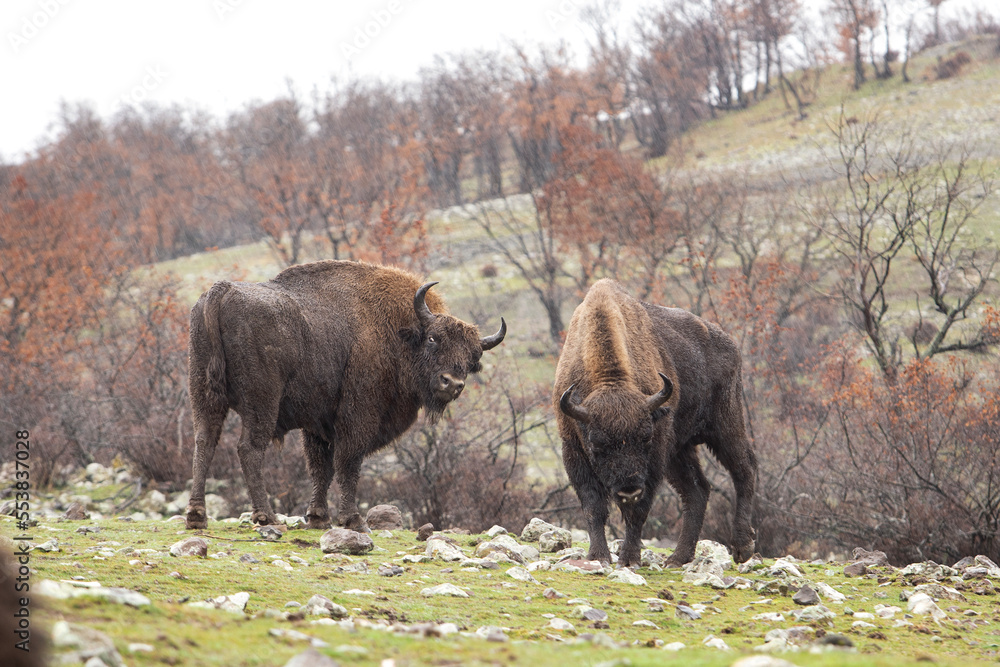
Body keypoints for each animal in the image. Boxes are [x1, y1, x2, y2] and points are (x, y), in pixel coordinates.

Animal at [184, 260, 504, 532]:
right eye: (433, 338)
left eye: (473, 357)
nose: (452, 383)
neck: (396, 330)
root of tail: (221, 290)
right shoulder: (357, 417)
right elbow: (348, 463)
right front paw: (353, 520)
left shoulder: (317, 426)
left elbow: (321, 468)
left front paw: (318, 518)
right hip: (262, 404)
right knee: (249, 449)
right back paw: (265, 516)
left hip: (203, 395)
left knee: (204, 442)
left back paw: (197, 516)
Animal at [552, 280, 752, 568]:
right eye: (597, 444)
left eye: (646, 437)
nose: (628, 491)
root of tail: (731, 345)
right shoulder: (573, 449)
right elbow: (593, 507)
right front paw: (598, 556)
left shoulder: (656, 454)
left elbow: (638, 511)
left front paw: (629, 559)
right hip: (680, 449)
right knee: (697, 490)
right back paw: (678, 558)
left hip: (725, 427)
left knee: (744, 471)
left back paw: (743, 547)